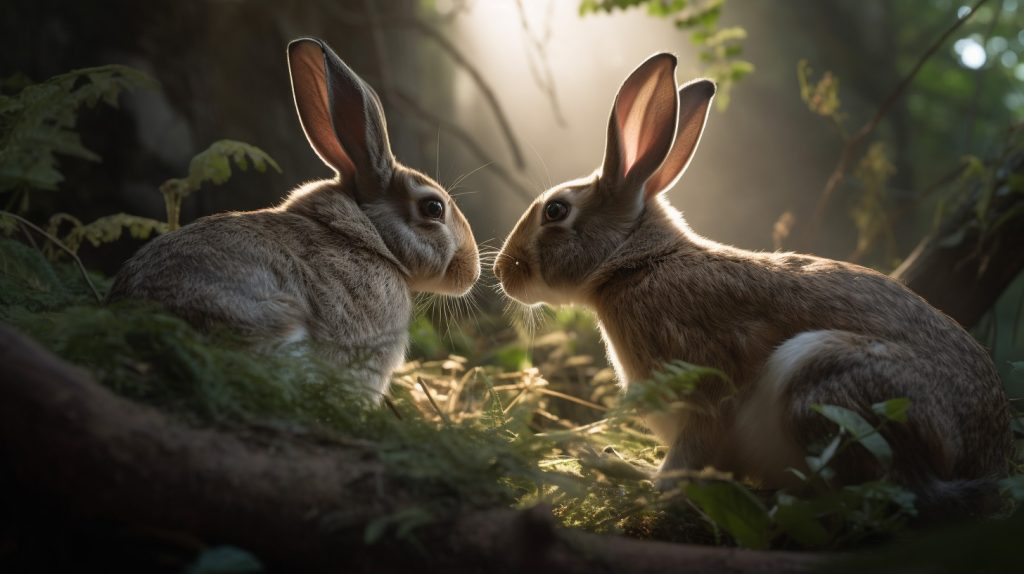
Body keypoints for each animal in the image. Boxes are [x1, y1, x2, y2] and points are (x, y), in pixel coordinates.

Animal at [494, 52, 1012, 512]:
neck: (635, 264)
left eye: (555, 210)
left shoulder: (702, 380)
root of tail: (983, 457)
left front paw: (636, 479)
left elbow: (689, 456)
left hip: (824, 379)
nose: (502, 272)